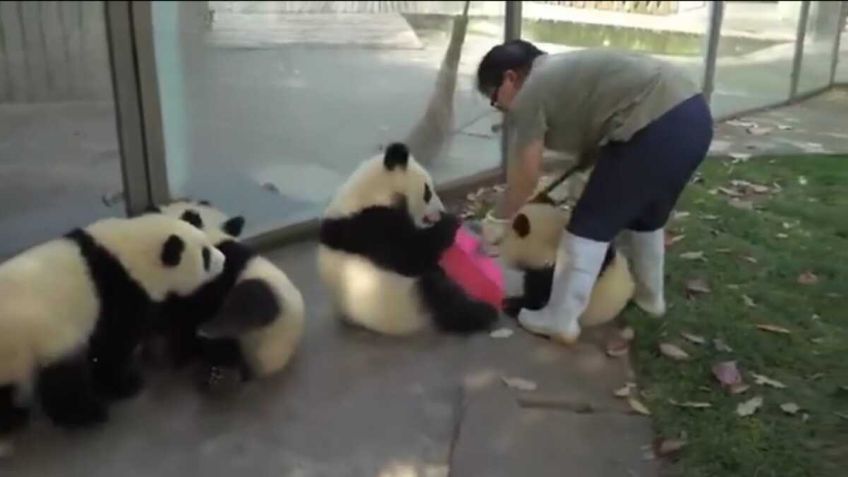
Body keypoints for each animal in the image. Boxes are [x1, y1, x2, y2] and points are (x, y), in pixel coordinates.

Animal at [0, 214, 225, 434]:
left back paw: (13, 418)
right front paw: (126, 384)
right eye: (205, 255)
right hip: (38, 338)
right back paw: (88, 414)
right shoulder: (116, 296)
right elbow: (112, 347)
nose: (223, 259)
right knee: (62, 381)